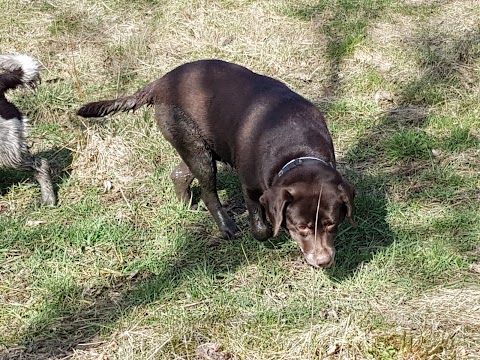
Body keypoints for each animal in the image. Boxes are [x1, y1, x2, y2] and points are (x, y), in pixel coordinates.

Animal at [78, 59, 356, 268]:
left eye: (331, 223)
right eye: (301, 227)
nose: (323, 261)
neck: (295, 150)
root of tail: (159, 83)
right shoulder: (251, 188)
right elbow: (260, 228)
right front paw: (267, 229)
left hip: (198, 148)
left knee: (179, 173)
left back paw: (185, 205)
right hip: (198, 152)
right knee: (208, 192)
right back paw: (226, 227)